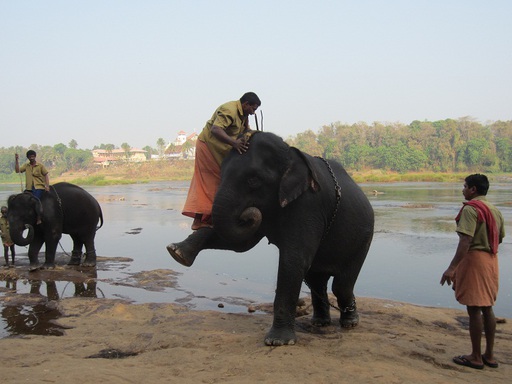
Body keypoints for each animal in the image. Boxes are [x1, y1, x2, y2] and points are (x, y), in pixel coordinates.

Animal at [168, 130, 372, 346]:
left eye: (253, 180)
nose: (247, 214)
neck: (289, 152)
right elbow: (241, 243)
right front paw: (176, 252)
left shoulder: (309, 204)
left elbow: (293, 259)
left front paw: (277, 341)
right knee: (317, 281)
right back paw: (319, 323)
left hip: (363, 238)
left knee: (341, 284)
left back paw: (350, 323)